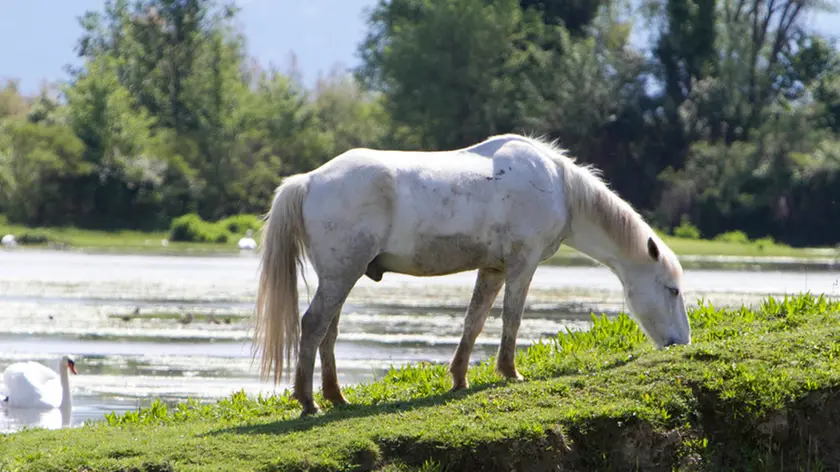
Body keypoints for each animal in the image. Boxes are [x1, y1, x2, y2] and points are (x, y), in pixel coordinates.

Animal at [254, 134, 688, 416]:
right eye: (672, 290)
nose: (681, 343)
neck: (558, 186)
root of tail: (309, 180)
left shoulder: (492, 268)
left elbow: (474, 321)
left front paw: (459, 378)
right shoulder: (523, 264)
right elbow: (511, 318)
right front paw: (510, 372)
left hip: (341, 276)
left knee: (328, 331)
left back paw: (335, 397)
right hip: (340, 275)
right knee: (313, 325)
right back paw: (308, 401)